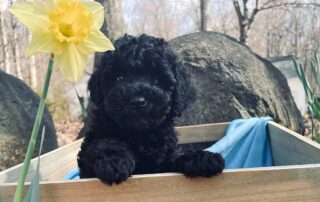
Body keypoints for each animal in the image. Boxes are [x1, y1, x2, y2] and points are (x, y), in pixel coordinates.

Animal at [77, 34, 225, 184]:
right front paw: (114, 162)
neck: (141, 135)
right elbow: (106, 142)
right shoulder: (95, 141)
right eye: (119, 78)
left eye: (157, 80)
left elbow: (177, 156)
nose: (138, 101)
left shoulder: (165, 158)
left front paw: (203, 158)